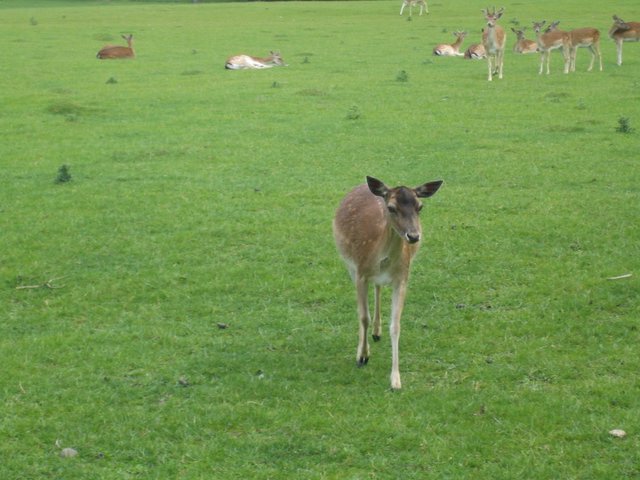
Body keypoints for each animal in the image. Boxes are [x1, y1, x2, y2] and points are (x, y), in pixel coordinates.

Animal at [333, 176, 443, 390]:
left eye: (420, 206)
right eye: (391, 208)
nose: (413, 236)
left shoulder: (402, 278)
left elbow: (396, 325)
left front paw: (396, 380)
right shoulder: (360, 273)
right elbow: (363, 317)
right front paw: (362, 356)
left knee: (378, 286)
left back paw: (377, 332)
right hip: (348, 264)